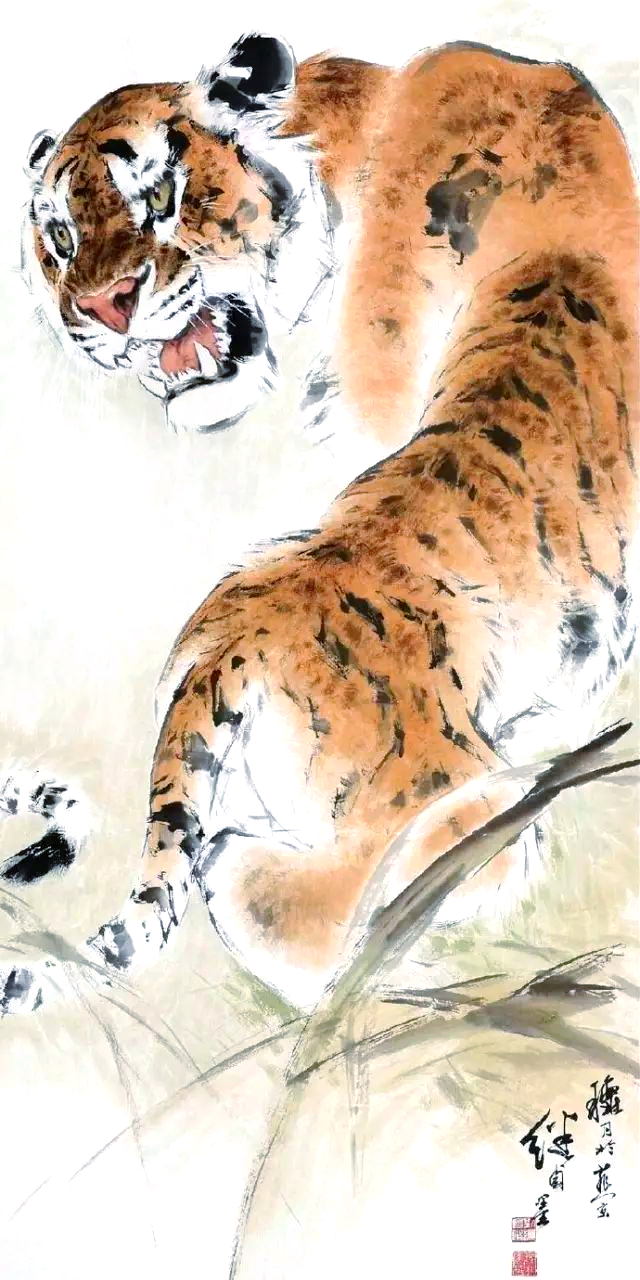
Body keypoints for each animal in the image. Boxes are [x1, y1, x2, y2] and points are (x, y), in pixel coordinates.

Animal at [1, 36, 637, 1014]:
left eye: (161, 196)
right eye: (60, 237)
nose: (98, 311)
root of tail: (229, 649)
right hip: (468, 803)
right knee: (313, 910)